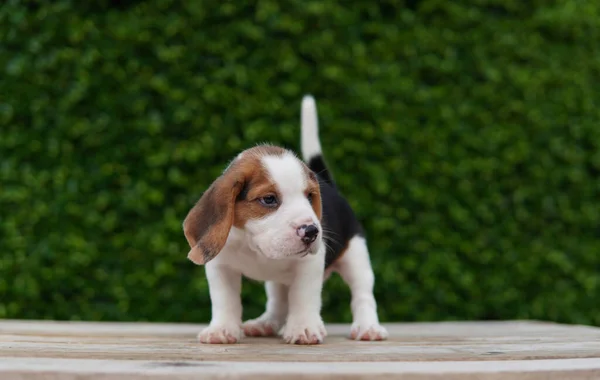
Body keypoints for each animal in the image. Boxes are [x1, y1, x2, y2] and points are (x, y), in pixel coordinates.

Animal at [183, 95, 390, 344]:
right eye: (269, 199)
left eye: (310, 196)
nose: (311, 231)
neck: (253, 246)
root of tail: (329, 185)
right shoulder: (220, 266)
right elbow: (225, 300)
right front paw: (222, 329)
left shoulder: (309, 265)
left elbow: (303, 296)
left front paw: (304, 328)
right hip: (277, 282)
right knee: (278, 302)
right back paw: (265, 324)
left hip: (356, 258)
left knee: (363, 295)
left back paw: (368, 327)